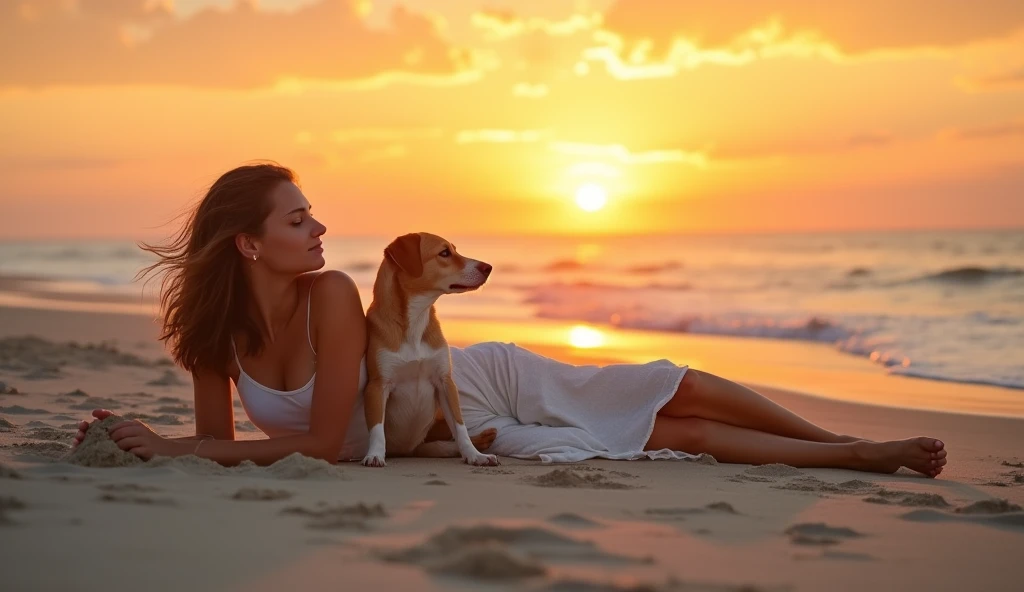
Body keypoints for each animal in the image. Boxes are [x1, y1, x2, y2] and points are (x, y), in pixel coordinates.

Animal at [362, 230, 501, 464]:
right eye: (444, 253)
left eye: (455, 249)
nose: (488, 267)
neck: (416, 319)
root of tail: (407, 451)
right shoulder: (377, 385)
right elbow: (376, 428)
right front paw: (374, 454)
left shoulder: (445, 382)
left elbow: (460, 427)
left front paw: (474, 455)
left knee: (446, 442)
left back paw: (481, 442)